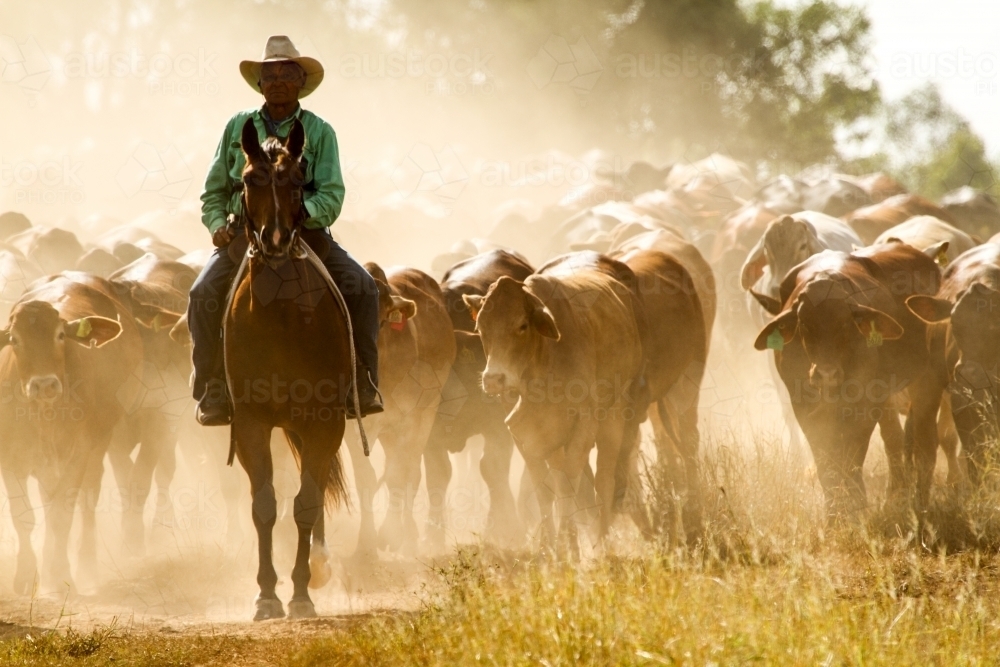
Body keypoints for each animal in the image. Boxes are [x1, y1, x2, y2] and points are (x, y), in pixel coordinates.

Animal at [225, 118, 354, 620]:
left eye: (299, 180)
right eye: (248, 179)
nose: (277, 240)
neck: (280, 314)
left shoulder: (324, 421)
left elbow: (306, 503)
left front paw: (300, 593)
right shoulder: (251, 422)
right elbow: (265, 505)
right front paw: (266, 594)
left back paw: (319, 565)